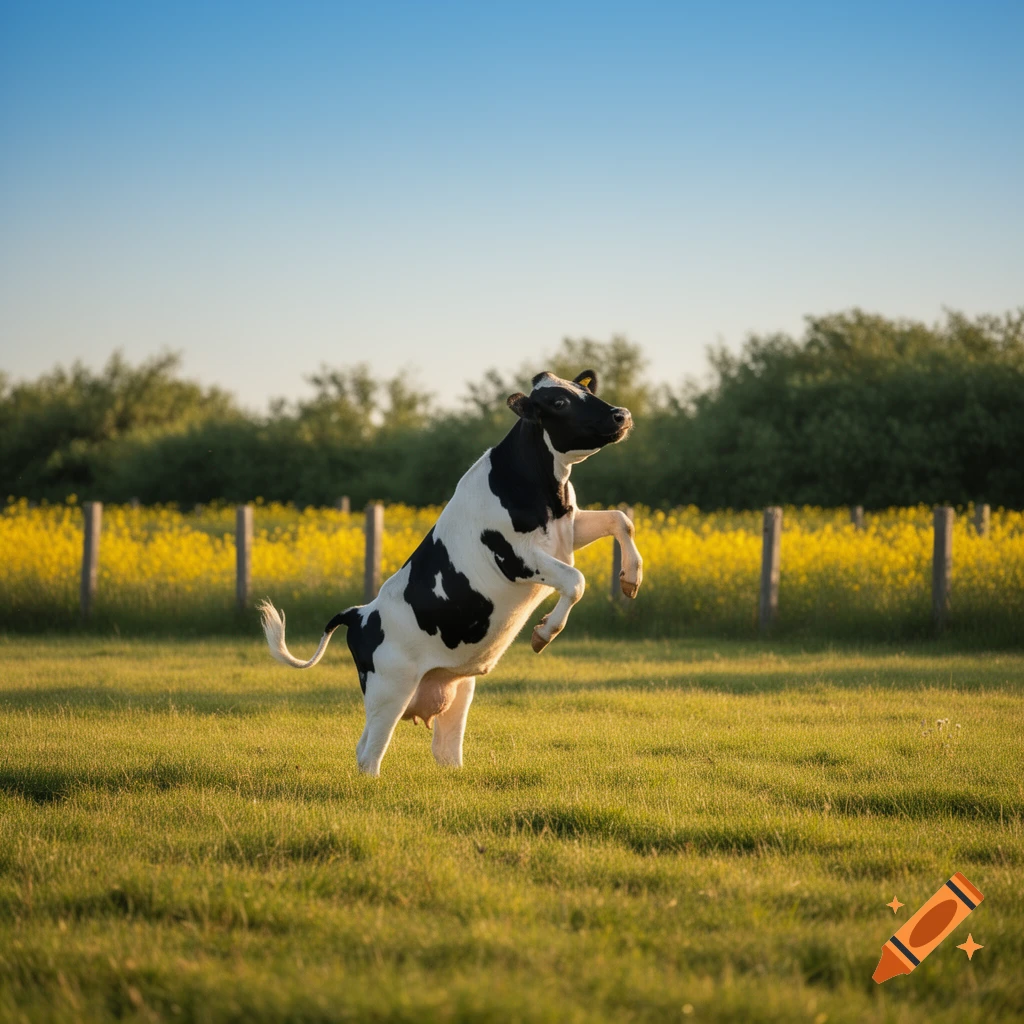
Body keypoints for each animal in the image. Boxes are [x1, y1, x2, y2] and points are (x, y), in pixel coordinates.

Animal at [259, 369, 643, 776]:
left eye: (584, 389)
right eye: (559, 402)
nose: (621, 414)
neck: (547, 495)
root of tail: (359, 612)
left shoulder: (567, 532)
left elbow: (621, 520)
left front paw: (631, 579)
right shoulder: (516, 558)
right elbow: (576, 579)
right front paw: (543, 633)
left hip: (455, 687)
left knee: (443, 749)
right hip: (389, 689)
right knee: (367, 751)